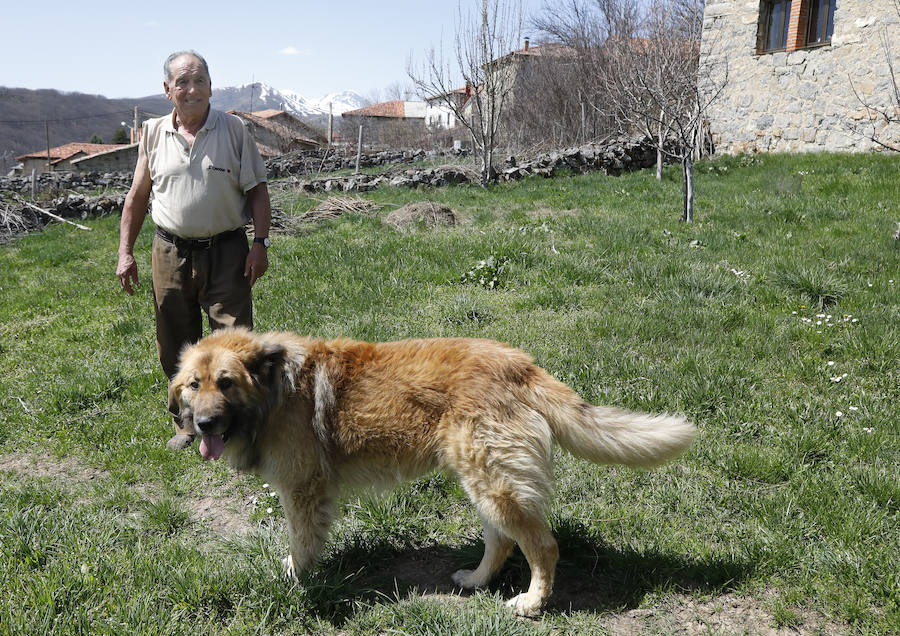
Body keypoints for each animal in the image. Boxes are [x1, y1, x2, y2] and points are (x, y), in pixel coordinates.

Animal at [169, 328, 696, 616]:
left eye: (226, 383)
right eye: (194, 385)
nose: (203, 425)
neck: (273, 390)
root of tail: (521, 365)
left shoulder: (302, 492)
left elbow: (301, 544)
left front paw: (297, 579)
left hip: (495, 484)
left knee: (542, 546)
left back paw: (531, 603)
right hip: (484, 483)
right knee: (502, 541)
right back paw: (477, 581)